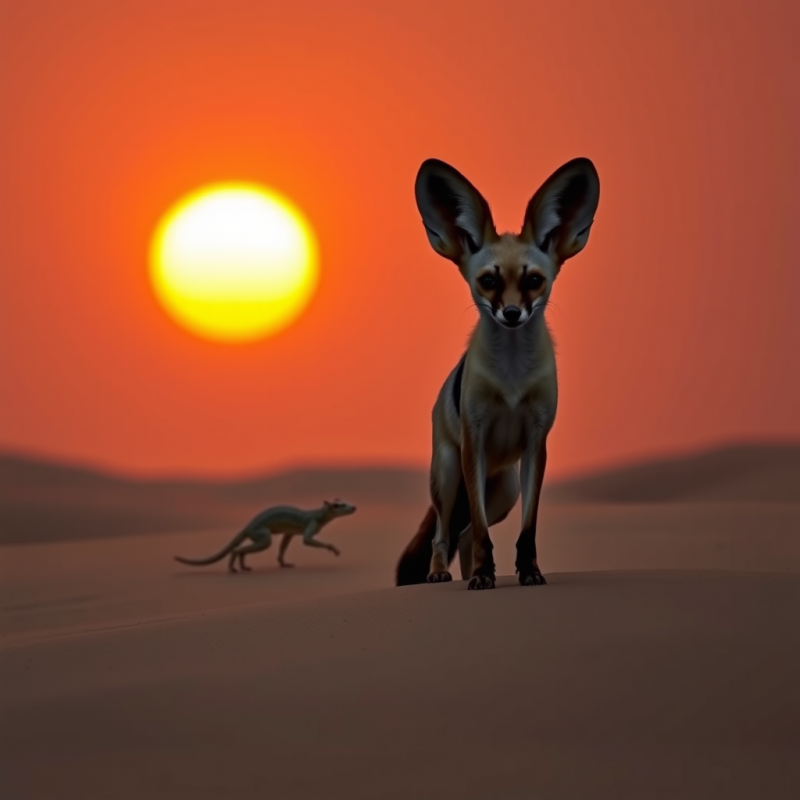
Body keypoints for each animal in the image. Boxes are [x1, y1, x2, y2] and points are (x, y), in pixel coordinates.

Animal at [395, 156, 600, 590]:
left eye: (534, 281)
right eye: (488, 281)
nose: (511, 313)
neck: (511, 379)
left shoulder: (537, 443)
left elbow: (527, 529)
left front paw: (529, 572)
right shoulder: (475, 440)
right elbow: (476, 533)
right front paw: (481, 578)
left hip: (504, 490)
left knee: (466, 533)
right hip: (448, 477)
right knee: (443, 533)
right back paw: (440, 574)